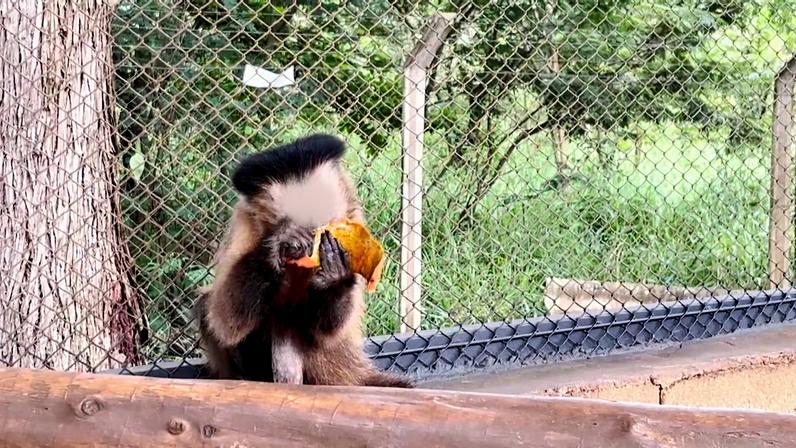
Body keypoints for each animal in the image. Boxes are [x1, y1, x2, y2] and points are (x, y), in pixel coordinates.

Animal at [194, 133, 413, 388]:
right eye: (302, 226)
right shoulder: (245, 223)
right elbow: (225, 321)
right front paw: (276, 245)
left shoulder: (354, 222)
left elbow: (328, 331)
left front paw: (334, 275)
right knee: (210, 306)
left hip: (339, 367)